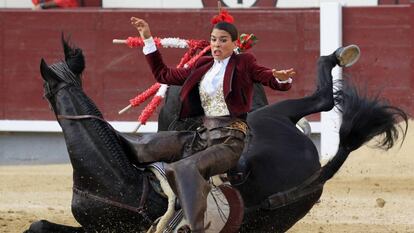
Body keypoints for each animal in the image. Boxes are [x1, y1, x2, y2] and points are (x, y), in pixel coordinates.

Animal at [23, 38, 408, 233]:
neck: (117, 176)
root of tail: (317, 164)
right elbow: (38, 226)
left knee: (324, 100)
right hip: (274, 116)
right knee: (320, 100)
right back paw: (339, 55)